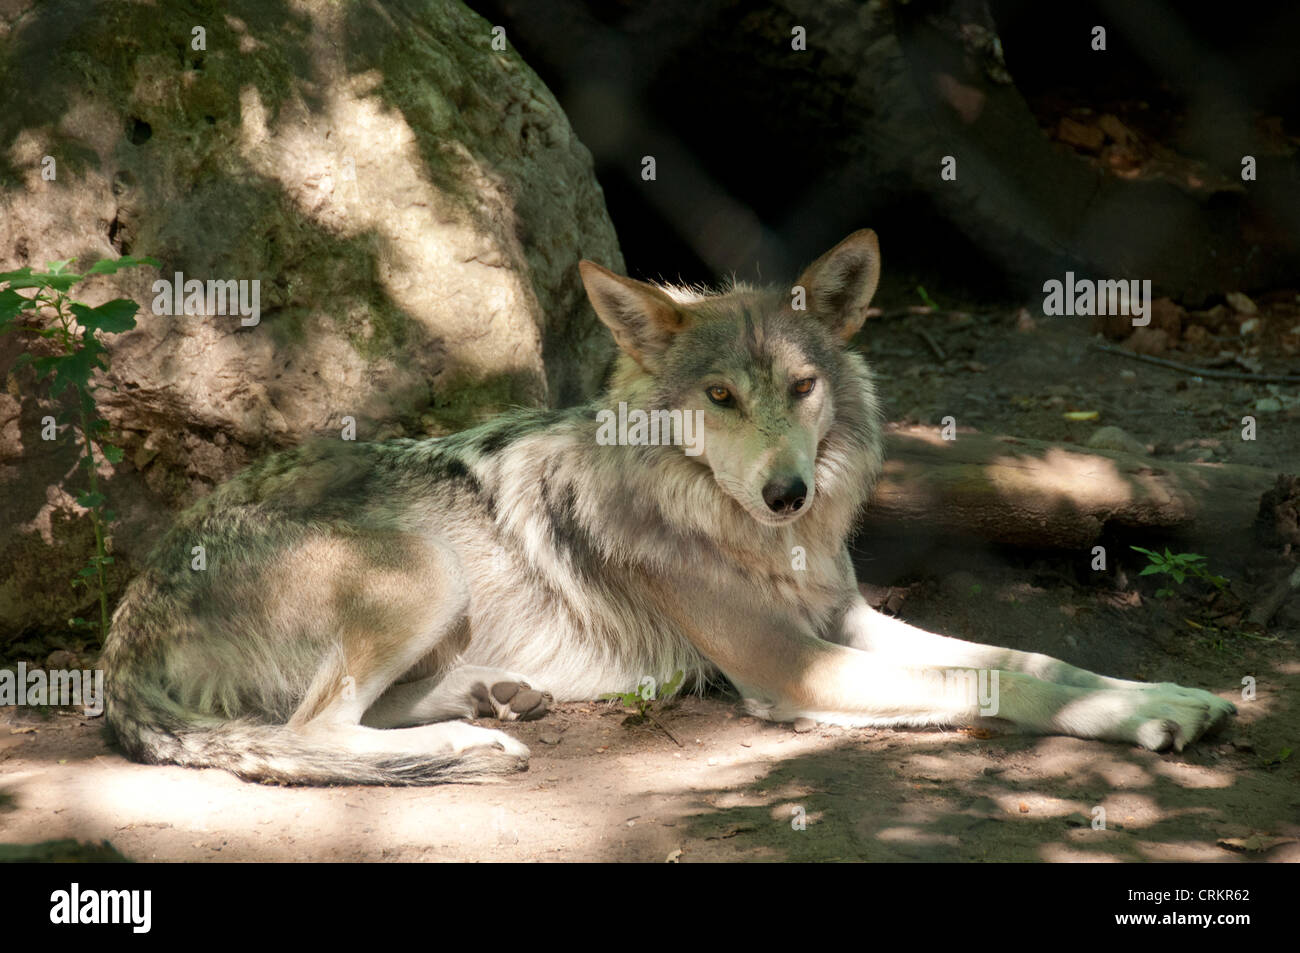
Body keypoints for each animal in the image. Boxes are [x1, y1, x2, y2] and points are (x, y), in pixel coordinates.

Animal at [104, 230, 1237, 780]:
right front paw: (1144, 717)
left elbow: (1027, 655)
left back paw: (492, 696)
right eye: (720, 397)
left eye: (801, 386)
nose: (785, 491)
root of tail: (122, 631)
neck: (753, 535)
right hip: (425, 569)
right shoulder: (790, 665)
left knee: (338, 715)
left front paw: (1167, 696)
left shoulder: (843, 618)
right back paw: (475, 741)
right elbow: (985, 677)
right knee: (308, 731)